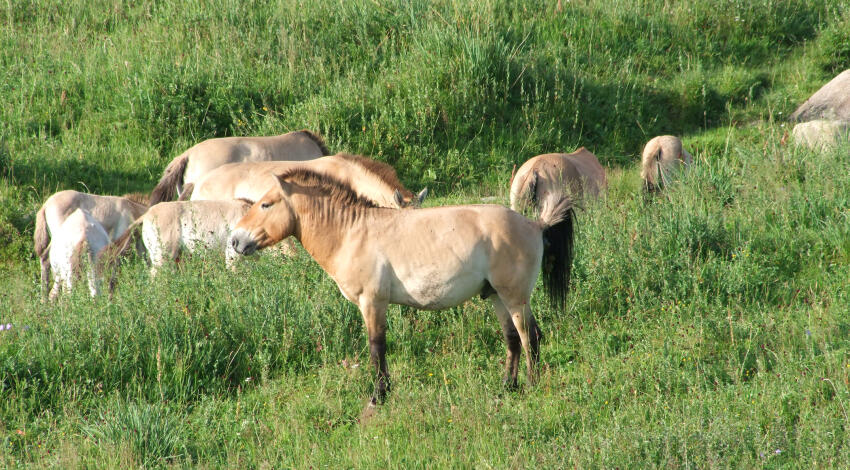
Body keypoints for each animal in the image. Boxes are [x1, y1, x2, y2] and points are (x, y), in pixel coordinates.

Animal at [229, 169, 575, 405]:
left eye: (266, 205)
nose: (234, 240)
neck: (352, 232)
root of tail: (535, 225)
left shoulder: (372, 303)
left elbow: (376, 348)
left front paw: (378, 396)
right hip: (497, 297)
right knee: (513, 340)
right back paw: (506, 387)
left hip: (515, 298)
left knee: (530, 337)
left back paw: (530, 387)